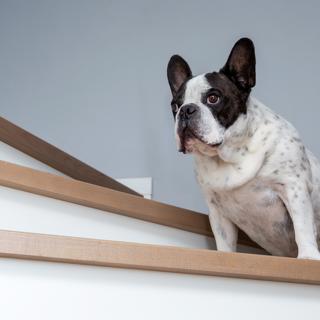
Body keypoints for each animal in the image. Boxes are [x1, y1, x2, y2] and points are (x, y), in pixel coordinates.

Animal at [166, 38, 320, 260]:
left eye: (213, 98)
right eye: (175, 106)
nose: (186, 110)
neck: (231, 155)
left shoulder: (293, 187)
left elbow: (303, 226)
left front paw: (308, 256)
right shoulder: (217, 211)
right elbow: (224, 240)